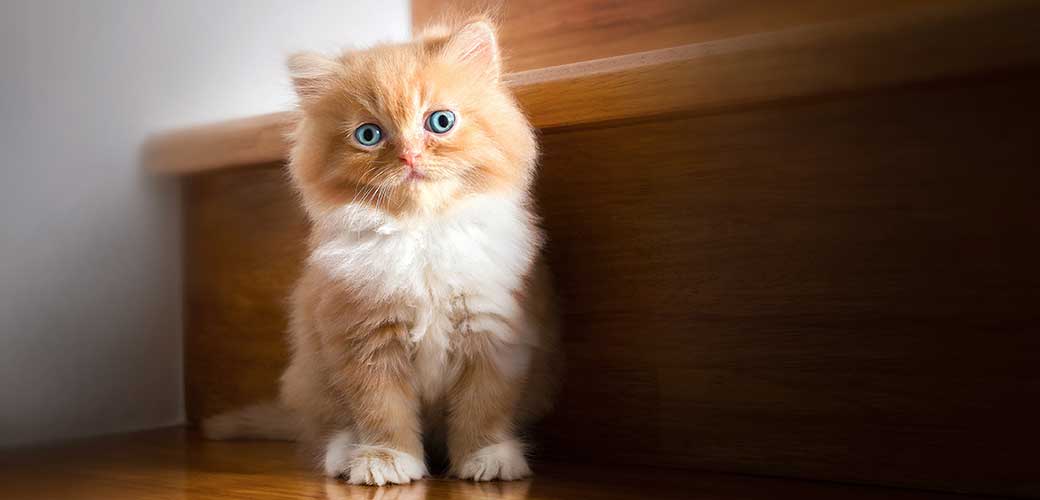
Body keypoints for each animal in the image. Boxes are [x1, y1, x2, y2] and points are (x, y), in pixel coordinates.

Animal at [201, 19, 561, 482]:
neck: (420, 233)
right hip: (311, 374)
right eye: (369, 135)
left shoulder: (494, 331)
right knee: (328, 428)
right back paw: (345, 455)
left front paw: (487, 457)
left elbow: (484, 407)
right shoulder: (364, 337)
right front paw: (386, 460)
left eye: (440, 122)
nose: (409, 156)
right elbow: (382, 410)